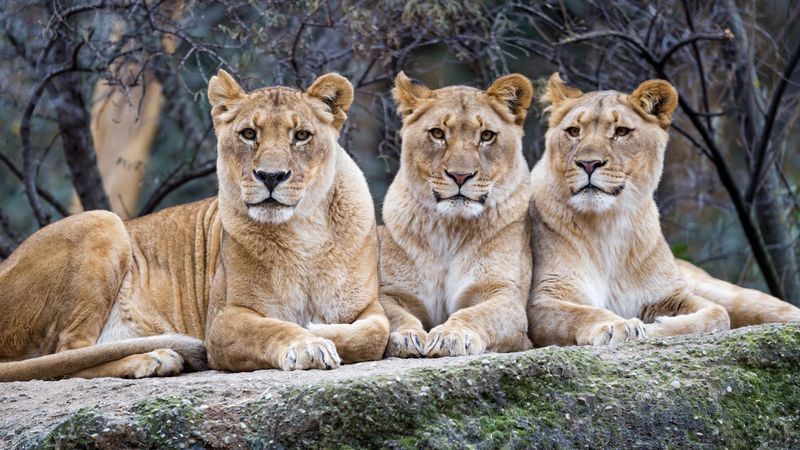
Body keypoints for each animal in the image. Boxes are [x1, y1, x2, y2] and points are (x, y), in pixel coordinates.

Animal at [0, 69, 389, 381]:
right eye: (249, 134)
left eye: (302, 136)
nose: (270, 176)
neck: (303, 230)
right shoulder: (222, 321)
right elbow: (274, 329)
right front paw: (308, 344)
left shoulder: (368, 307)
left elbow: (373, 334)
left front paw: (321, 331)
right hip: (103, 220)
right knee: (66, 354)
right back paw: (153, 358)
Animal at [379, 72, 534, 358]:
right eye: (438, 133)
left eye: (486, 136)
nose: (460, 176)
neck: (450, 228)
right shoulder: (390, 292)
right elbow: (393, 315)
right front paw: (406, 337)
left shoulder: (505, 296)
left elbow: (476, 314)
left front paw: (450, 336)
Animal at [527, 73, 800, 347]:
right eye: (573, 131)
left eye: (621, 131)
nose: (588, 163)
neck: (607, 224)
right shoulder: (541, 300)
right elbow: (582, 313)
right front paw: (619, 325)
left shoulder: (669, 294)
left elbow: (717, 314)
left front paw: (657, 326)